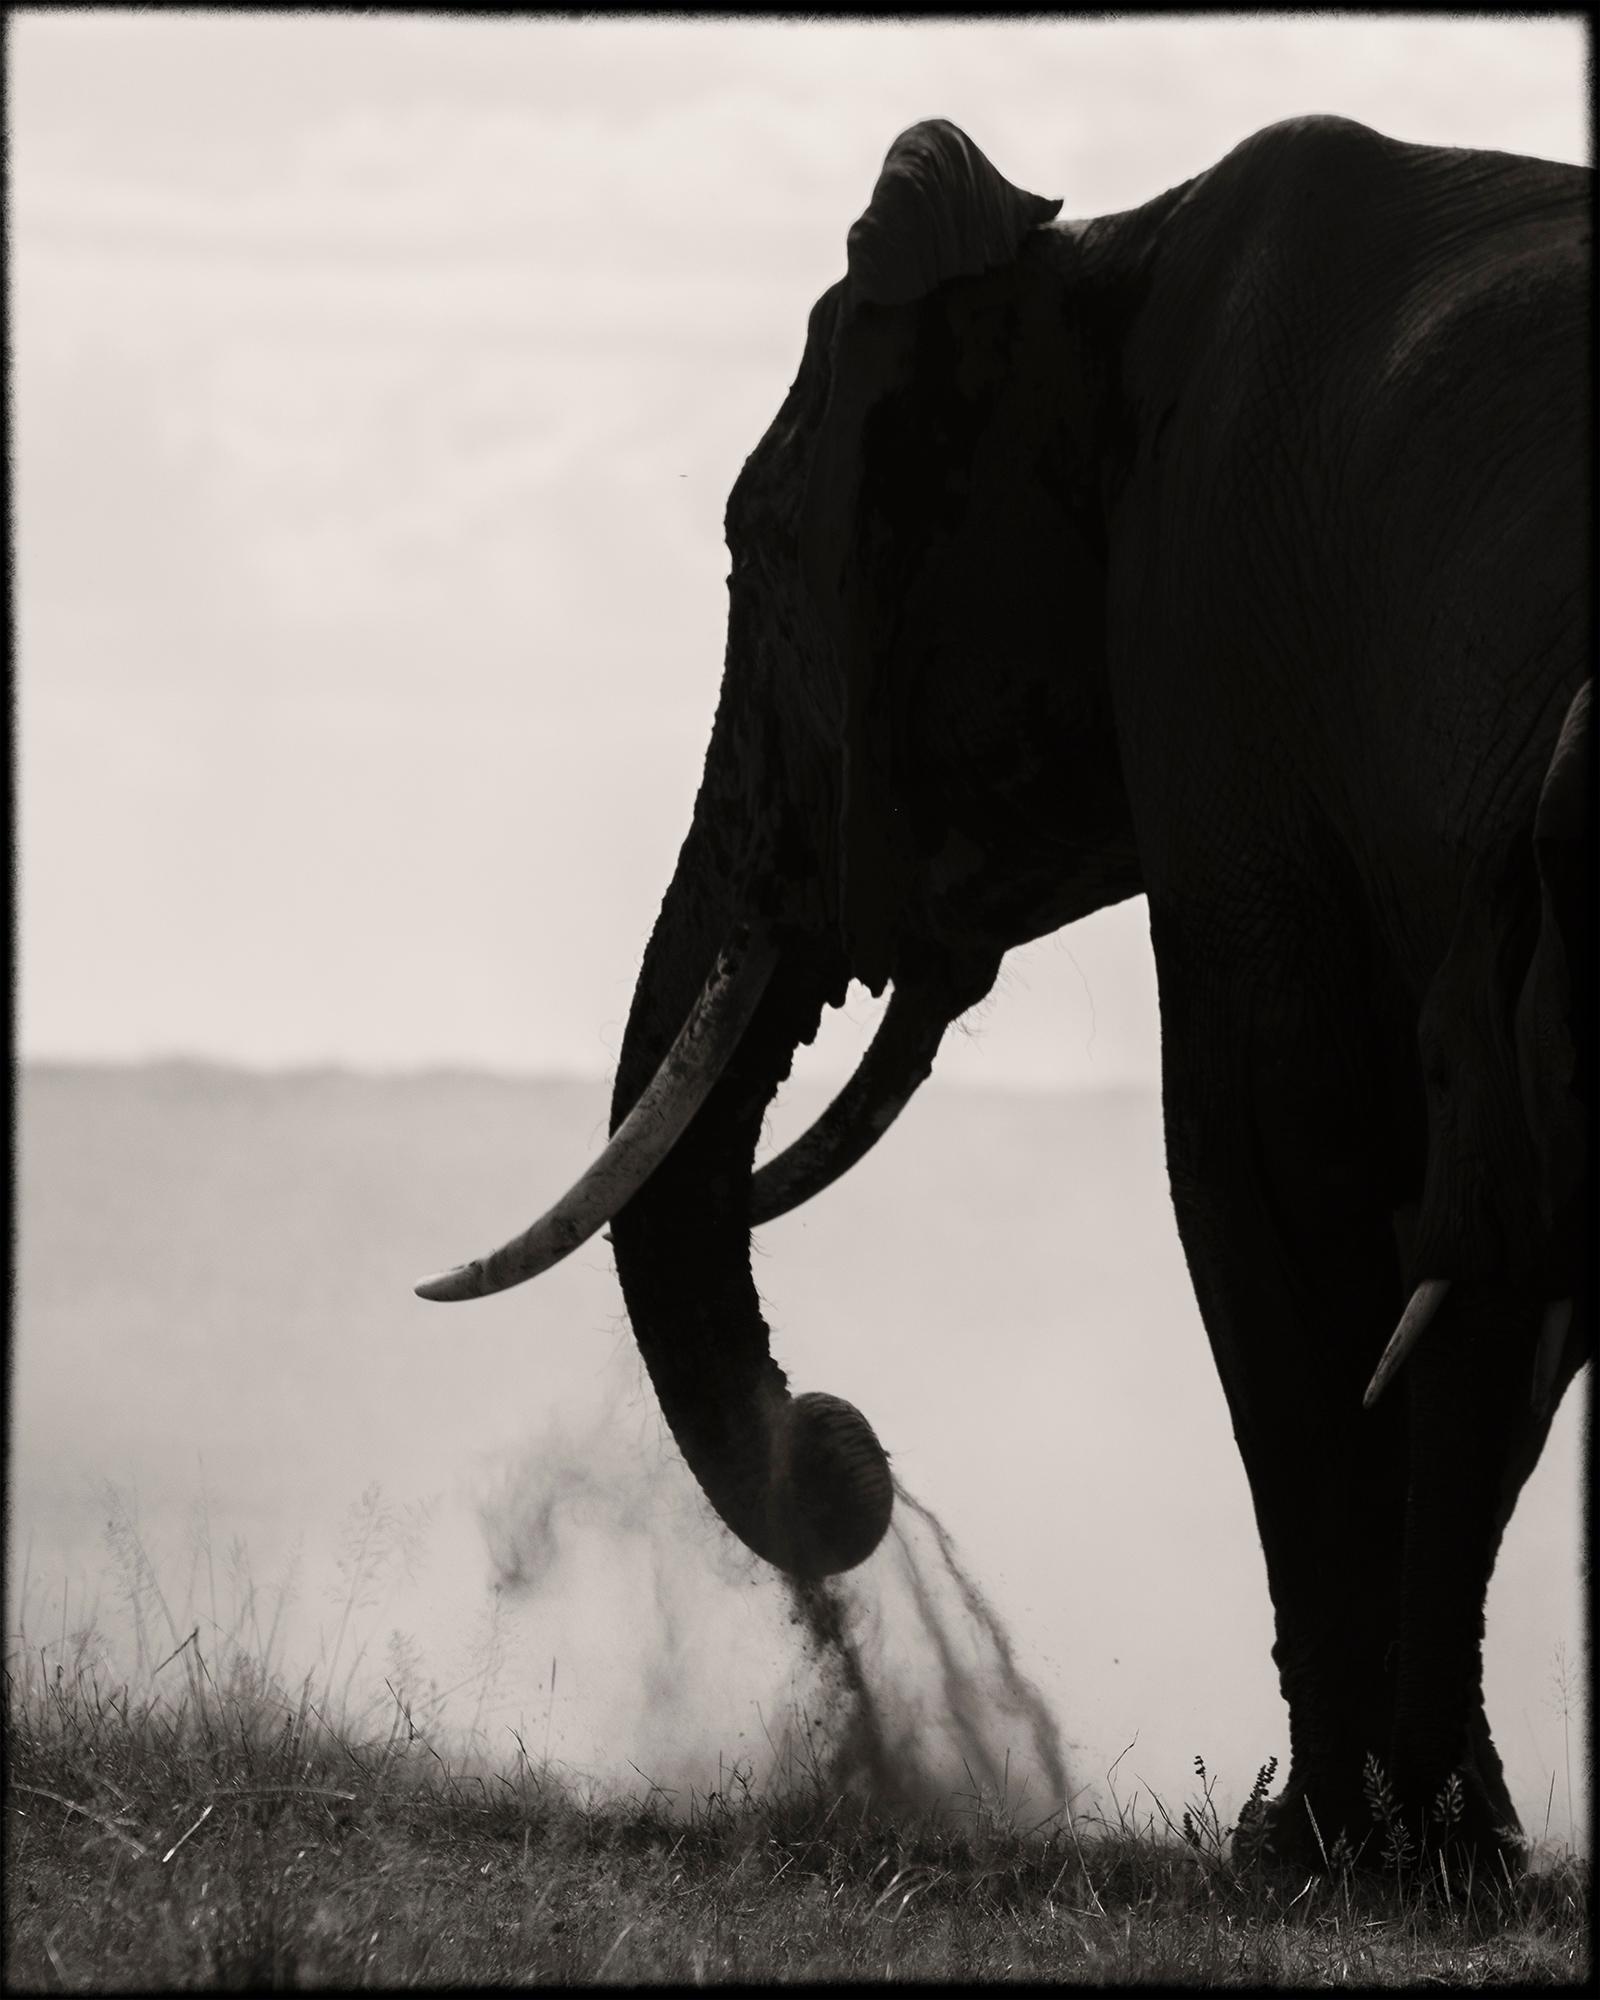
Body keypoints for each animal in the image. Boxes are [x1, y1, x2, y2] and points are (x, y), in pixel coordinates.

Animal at [418, 121, 1592, 1872]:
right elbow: (1447, 1261)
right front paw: (1438, 1855)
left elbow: (1264, 1173)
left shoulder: (1220, 652)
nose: (839, 1450)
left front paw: (1307, 1854)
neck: (1104, 250)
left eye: (758, 555)